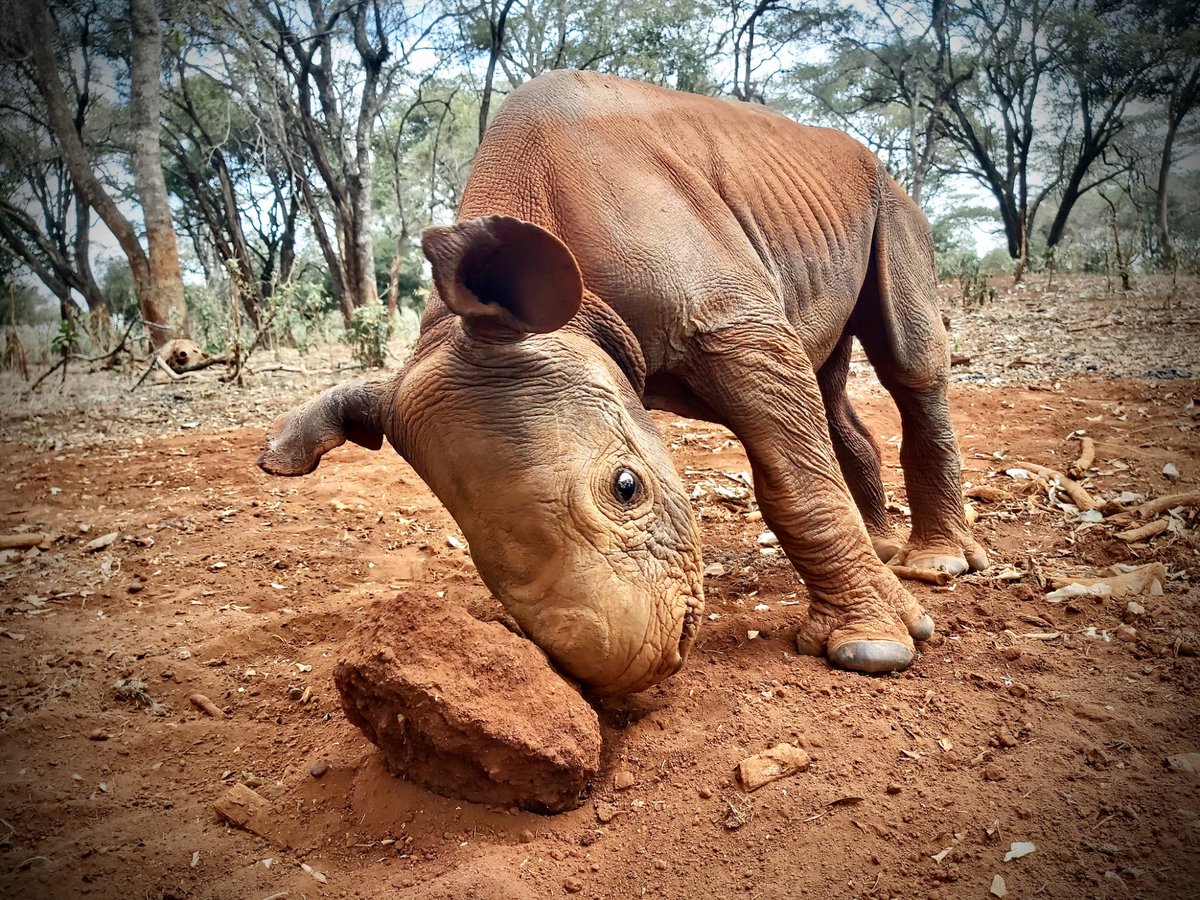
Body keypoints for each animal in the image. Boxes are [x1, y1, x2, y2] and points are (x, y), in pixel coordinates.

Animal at [258, 70, 988, 697]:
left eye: (626, 487)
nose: (632, 668)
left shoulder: (732, 325)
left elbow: (794, 482)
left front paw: (874, 651)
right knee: (827, 378)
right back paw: (885, 550)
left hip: (891, 200)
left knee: (909, 362)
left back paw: (934, 566)